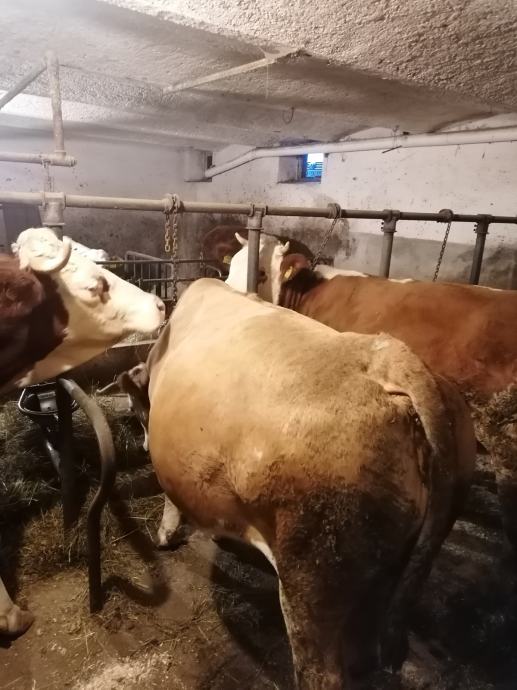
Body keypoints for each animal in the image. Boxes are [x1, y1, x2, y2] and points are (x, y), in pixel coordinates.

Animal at [116, 278, 475, 688]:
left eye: (137, 410)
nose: (143, 442)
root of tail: (392, 358)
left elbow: (172, 500)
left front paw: (166, 535)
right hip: (400, 563)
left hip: (313, 573)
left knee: (323, 670)